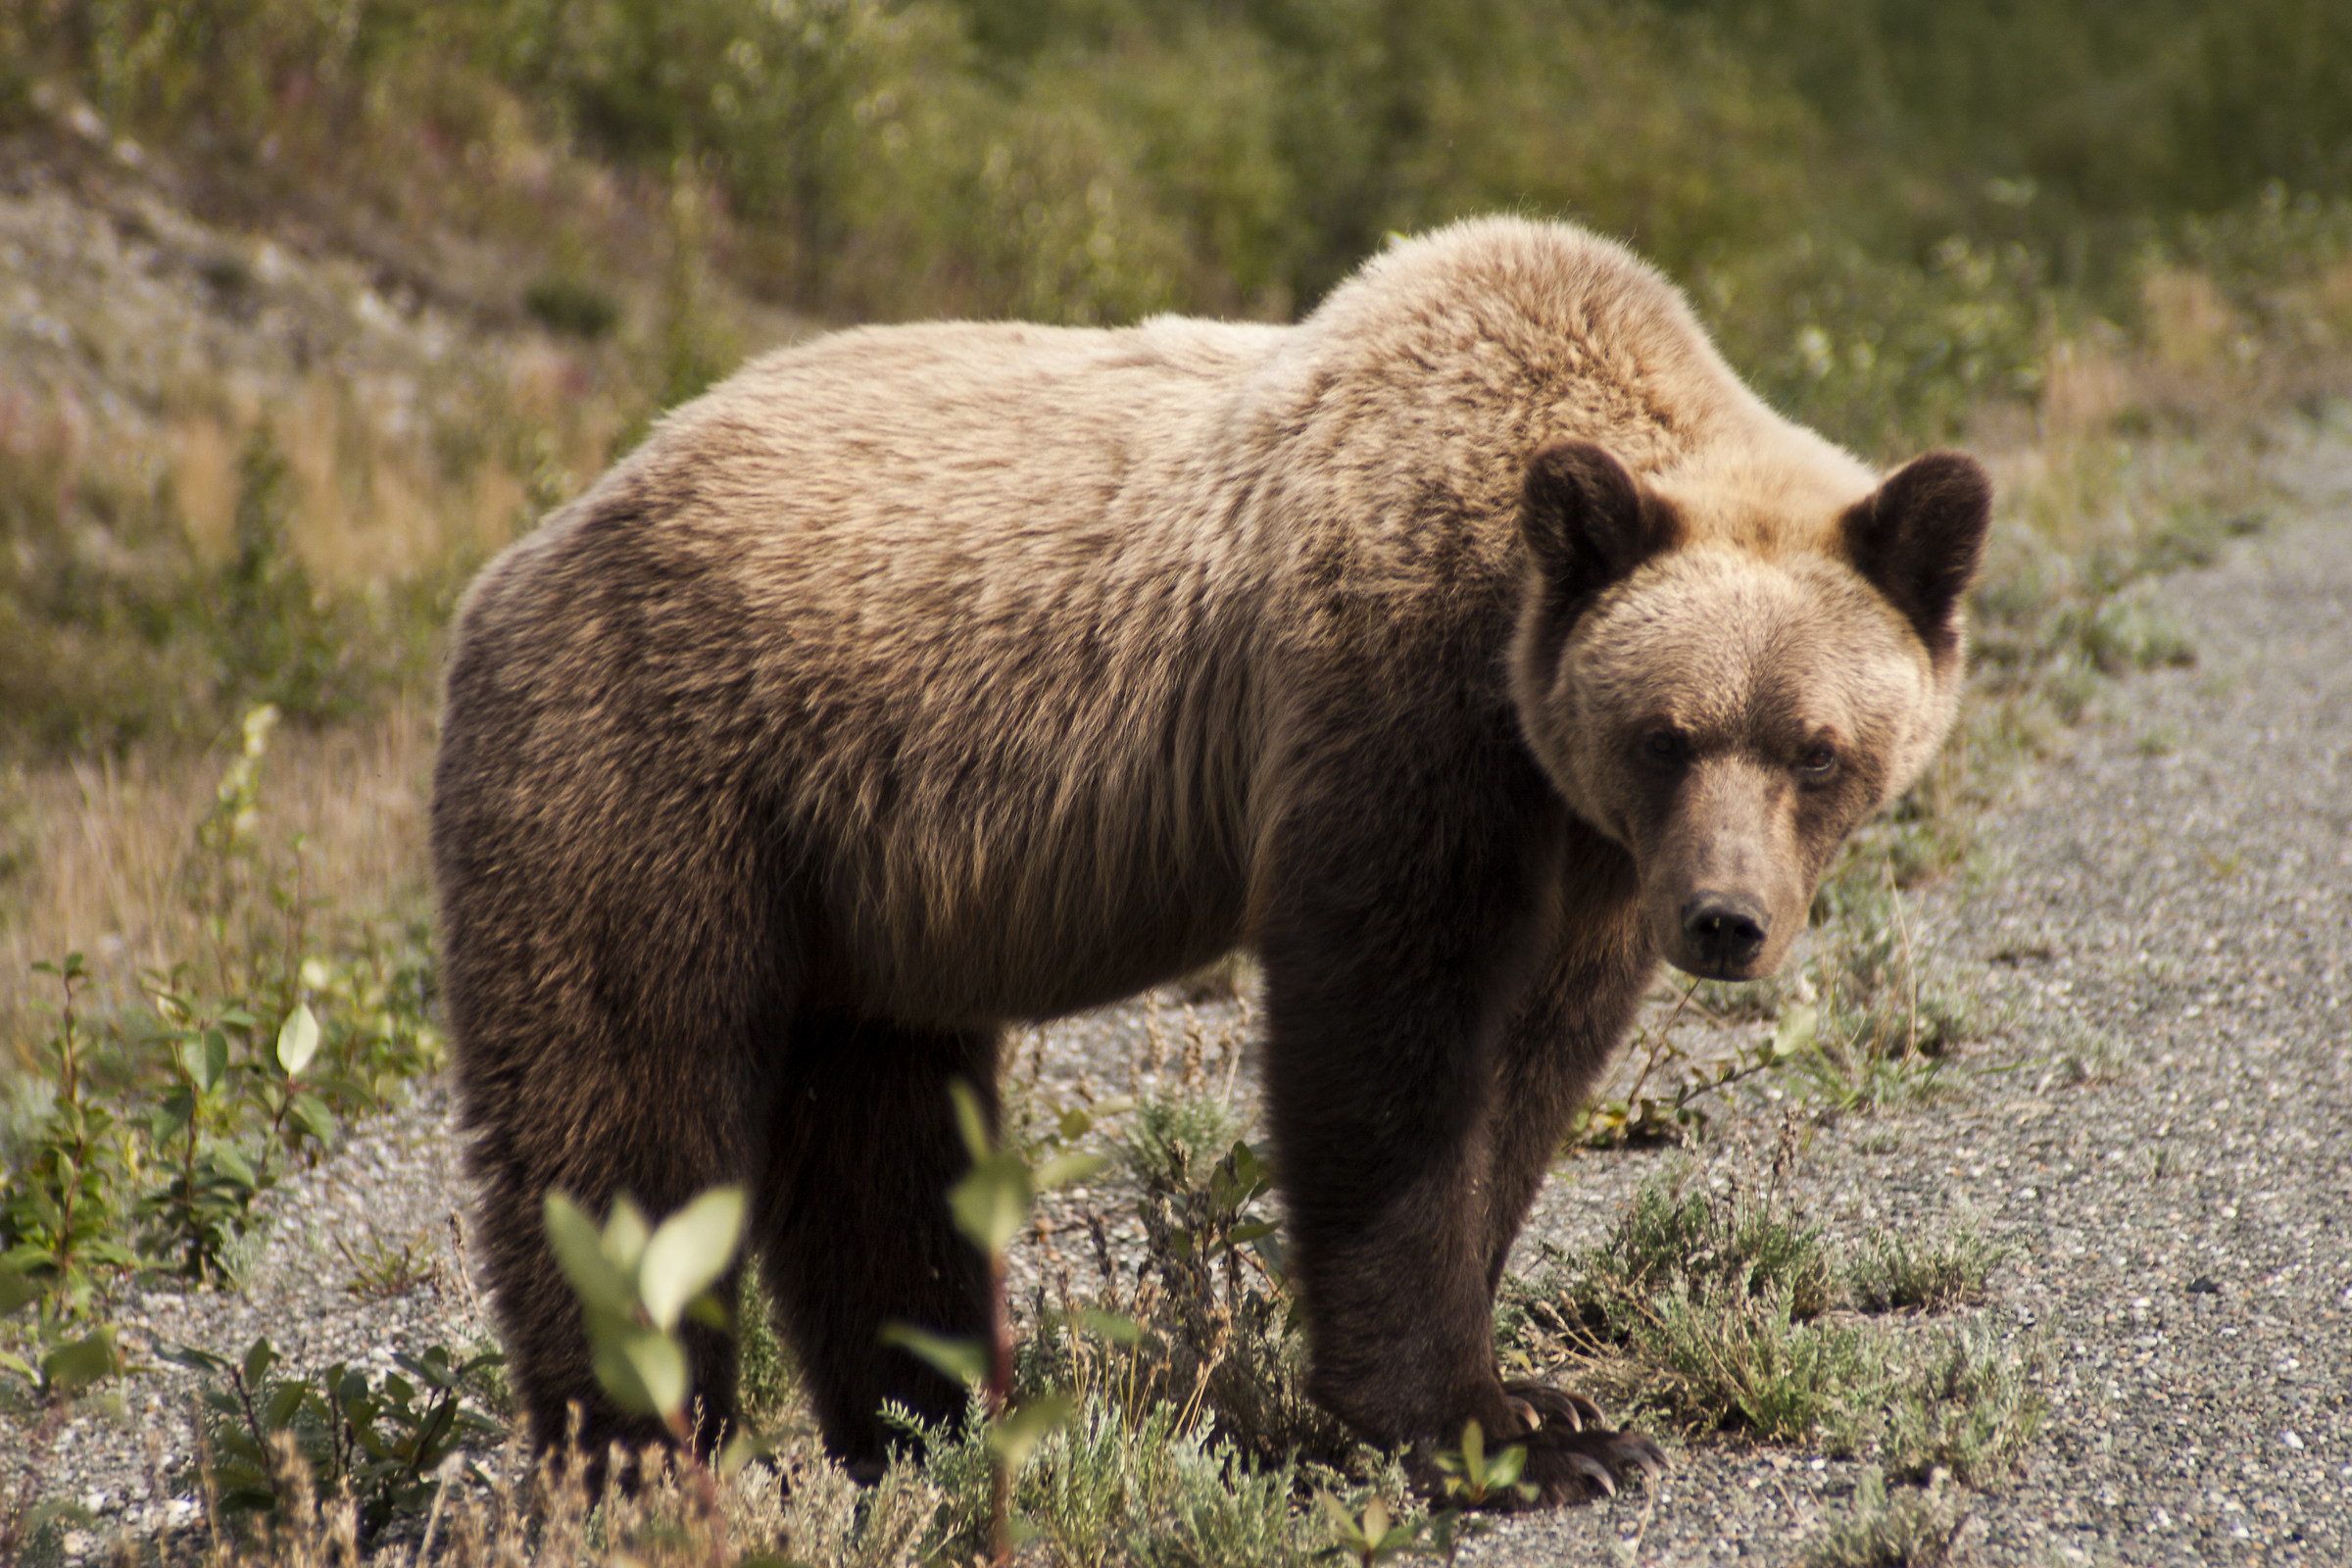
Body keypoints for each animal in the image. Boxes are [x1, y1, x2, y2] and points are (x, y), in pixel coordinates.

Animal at [431, 215, 1990, 1504]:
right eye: (1669, 734)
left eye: (1814, 749)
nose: (1726, 921)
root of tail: (517, 561)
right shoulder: (1393, 700)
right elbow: (1387, 1042)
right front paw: (1503, 1432)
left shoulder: (1584, 845)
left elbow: (1532, 1069)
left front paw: (1544, 1399)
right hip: (657, 778)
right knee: (622, 1127)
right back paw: (638, 1458)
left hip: (857, 895)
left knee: (881, 1146)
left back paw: (935, 1423)